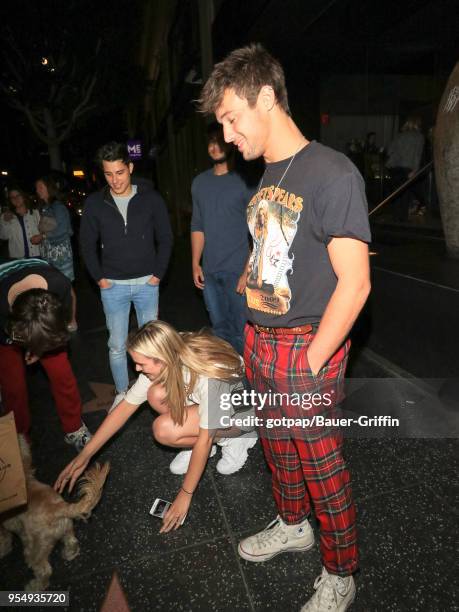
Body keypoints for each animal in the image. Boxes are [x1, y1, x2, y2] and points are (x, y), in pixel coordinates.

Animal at [0, 438, 109, 592]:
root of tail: (57, 508)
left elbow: (4, 540)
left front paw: (3, 550)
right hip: (67, 530)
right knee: (72, 542)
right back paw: (70, 554)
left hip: (34, 550)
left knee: (44, 571)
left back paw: (35, 587)